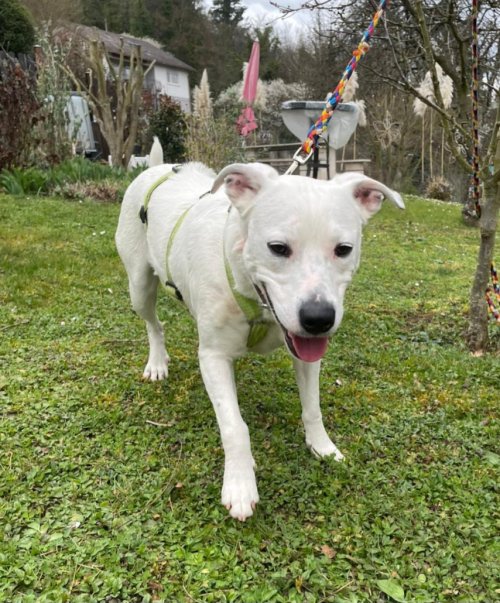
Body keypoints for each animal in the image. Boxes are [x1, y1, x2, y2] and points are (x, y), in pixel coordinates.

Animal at [115, 162, 404, 520]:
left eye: (344, 250)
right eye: (278, 248)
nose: (319, 318)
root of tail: (160, 166)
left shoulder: (305, 354)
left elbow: (312, 407)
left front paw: (321, 445)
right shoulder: (213, 357)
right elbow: (234, 426)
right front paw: (240, 484)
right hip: (139, 286)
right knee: (154, 323)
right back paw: (157, 362)